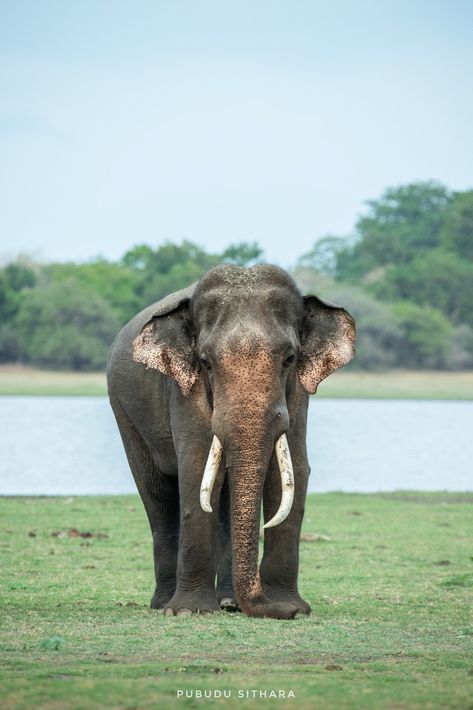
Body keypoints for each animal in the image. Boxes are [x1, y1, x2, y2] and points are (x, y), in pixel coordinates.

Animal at [107, 264, 354, 620]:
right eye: (206, 362)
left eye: (289, 359)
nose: (281, 611)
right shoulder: (184, 390)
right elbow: (195, 467)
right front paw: (189, 611)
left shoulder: (299, 394)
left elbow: (293, 471)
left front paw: (294, 607)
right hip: (124, 414)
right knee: (157, 496)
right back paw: (164, 604)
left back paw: (228, 603)